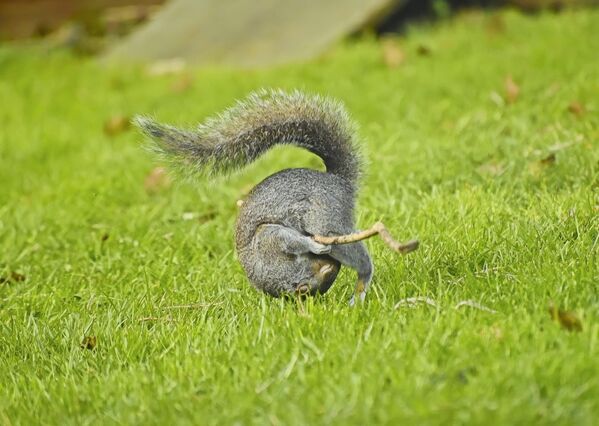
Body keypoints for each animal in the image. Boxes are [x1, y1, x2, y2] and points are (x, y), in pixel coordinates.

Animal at [135, 89, 376, 302]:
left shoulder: (269, 238)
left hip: (324, 220)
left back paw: (362, 283)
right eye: (309, 288)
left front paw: (313, 245)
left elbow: (291, 240)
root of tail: (338, 181)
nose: (332, 266)